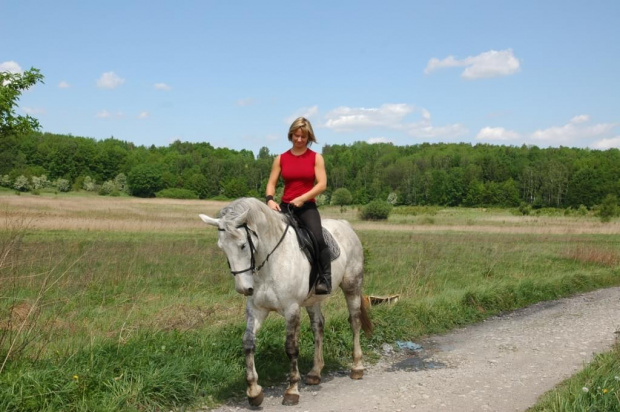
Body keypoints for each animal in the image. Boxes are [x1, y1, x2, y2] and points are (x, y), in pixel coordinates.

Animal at [201, 198, 370, 408]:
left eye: (242, 245)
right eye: (221, 247)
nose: (243, 289)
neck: (271, 261)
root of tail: (345, 225)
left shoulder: (291, 309)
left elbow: (291, 347)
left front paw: (292, 390)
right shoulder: (256, 309)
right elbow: (248, 342)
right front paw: (254, 392)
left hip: (352, 286)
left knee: (354, 322)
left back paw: (357, 367)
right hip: (313, 299)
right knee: (318, 326)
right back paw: (315, 372)